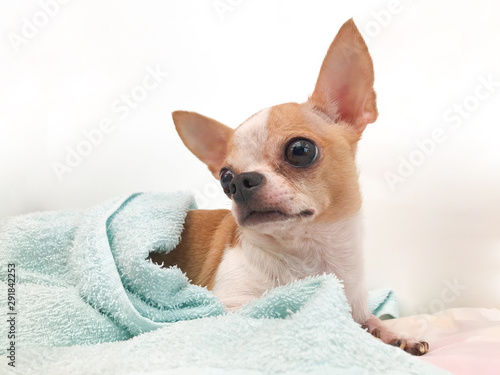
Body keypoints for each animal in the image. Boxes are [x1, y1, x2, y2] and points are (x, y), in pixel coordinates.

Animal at [149, 19, 430, 356]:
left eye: (300, 150)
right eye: (225, 178)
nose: (240, 182)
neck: (309, 255)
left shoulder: (356, 304)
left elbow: (370, 319)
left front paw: (396, 335)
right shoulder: (230, 307)